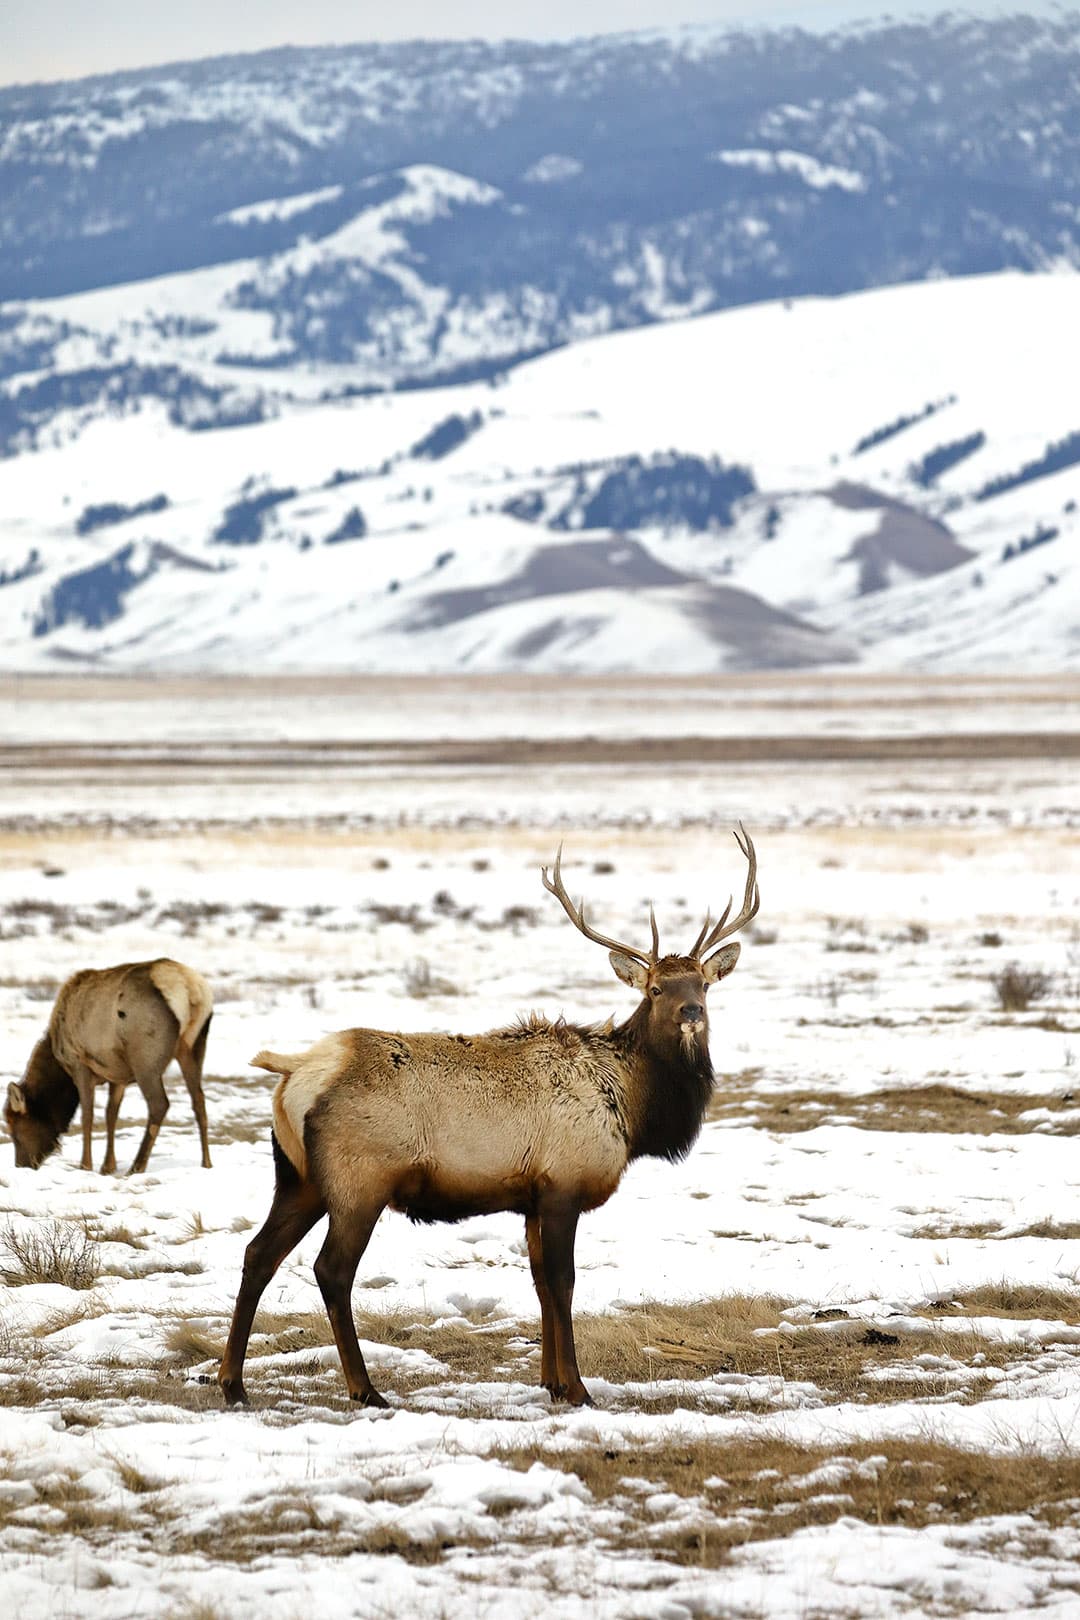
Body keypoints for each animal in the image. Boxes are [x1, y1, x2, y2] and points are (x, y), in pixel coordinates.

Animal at [4, 959, 213, 1179]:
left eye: (14, 1127)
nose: (22, 1165)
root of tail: (189, 989)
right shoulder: (117, 1075)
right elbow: (110, 1113)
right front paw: (107, 1166)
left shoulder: (79, 1064)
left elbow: (87, 1116)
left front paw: (85, 1165)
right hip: (193, 1046)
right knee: (199, 1101)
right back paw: (206, 1163)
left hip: (145, 1060)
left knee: (159, 1104)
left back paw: (137, 1166)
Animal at [220, 829, 761, 1412]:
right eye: (656, 989)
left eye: (703, 985)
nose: (692, 1014)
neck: (633, 1108)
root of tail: (295, 1069)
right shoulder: (563, 1185)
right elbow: (564, 1281)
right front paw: (577, 1387)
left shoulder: (531, 1197)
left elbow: (540, 1282)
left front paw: (550, 1381)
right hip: (359, 1179)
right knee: (332, 1270)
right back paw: (365, 1389)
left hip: (298, 1178)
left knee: (258, 1254)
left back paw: (233, 1383)